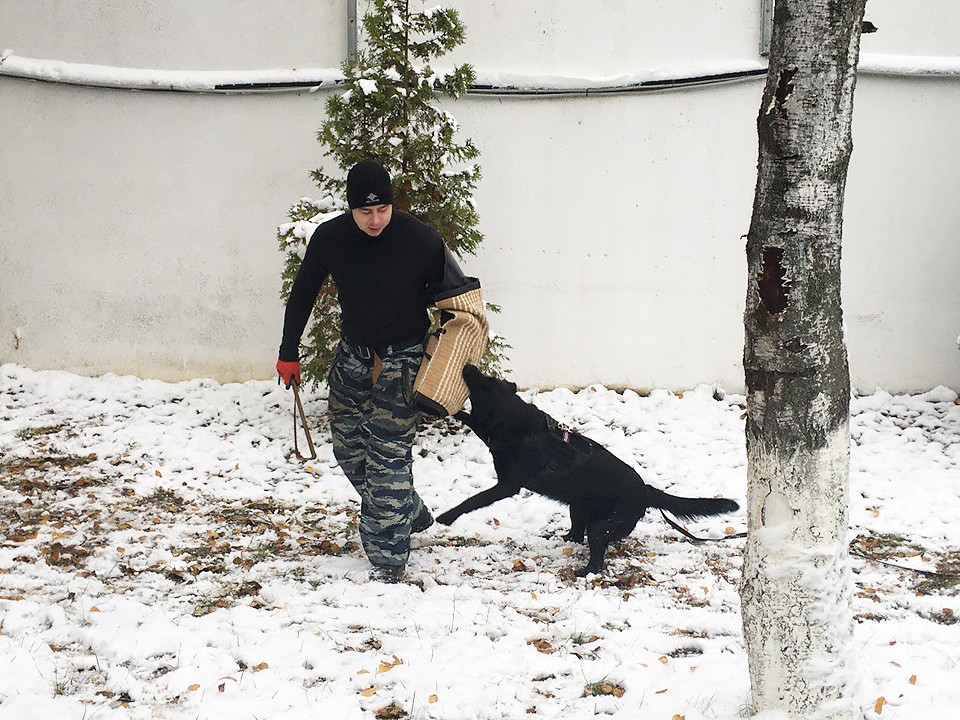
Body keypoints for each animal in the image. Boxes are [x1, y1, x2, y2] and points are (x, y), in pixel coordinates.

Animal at [436, 366, 744, 572]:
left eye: (485, 383)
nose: (468, 366)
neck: (515, 421)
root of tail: (645, 490)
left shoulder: (507, 485)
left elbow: (473, 500)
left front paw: (447, 516)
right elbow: (472, 421)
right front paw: (451, 411)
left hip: (601, 525)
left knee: (596, 551)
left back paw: (585, 572)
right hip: (578, 506)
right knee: (577, 532)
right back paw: (566, 540)